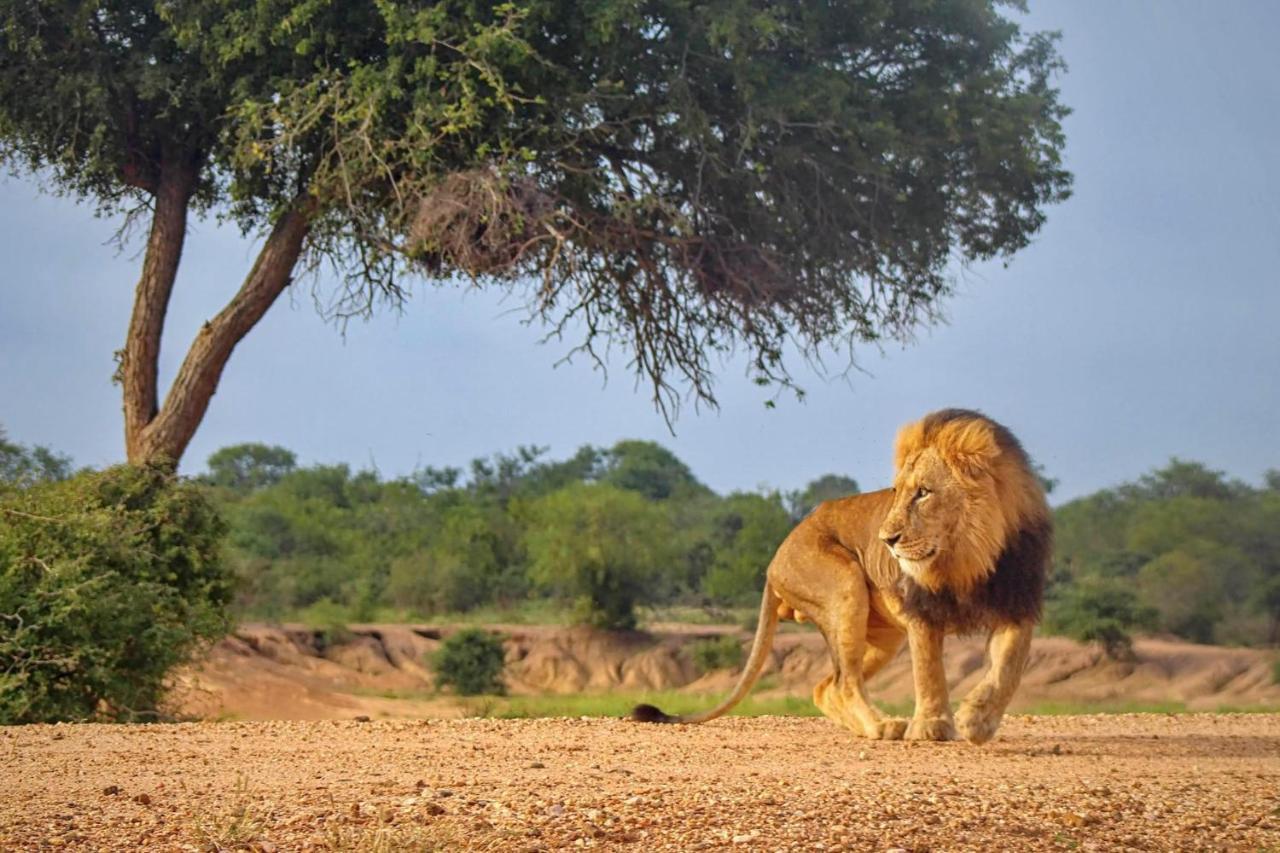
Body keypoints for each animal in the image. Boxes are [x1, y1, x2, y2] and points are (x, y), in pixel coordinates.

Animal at [629, 409, 1049, 742]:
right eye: (896, 491)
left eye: (924, 493)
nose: (886, 540)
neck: (969, 557)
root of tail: (774, 561)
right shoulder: (921, 612)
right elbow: (929, 671)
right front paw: (932, 727)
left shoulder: (1018, 605)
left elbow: (1008, 669)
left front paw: (978, 721)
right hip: (844, 585)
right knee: (845, 682)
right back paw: (882, 727)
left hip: (883, 635)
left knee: (826, 687)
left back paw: (871, 727)